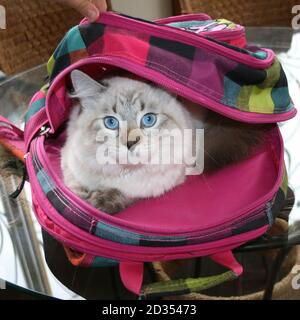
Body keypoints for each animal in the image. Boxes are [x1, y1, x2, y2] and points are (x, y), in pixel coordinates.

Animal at [61, 70, 270, 215]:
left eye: (148, 120)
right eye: (111, 123)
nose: (131, 143)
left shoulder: (159, 182)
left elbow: (128, 192)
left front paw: (101, 203)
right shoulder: (69, 163)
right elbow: (74, 188)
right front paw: (83, 204)